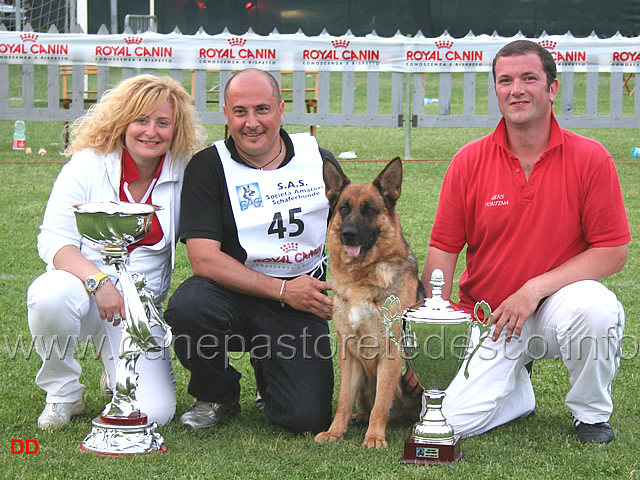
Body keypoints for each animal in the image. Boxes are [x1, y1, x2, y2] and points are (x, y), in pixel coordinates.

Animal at [314, 156, 422, 448]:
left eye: (370, 210)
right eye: (344, 209)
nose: (348, 234)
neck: (360, 279)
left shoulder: (391, 354)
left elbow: (381, 403)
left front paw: (374, 437)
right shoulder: (348, 353)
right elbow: (343, 401)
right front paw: (334, 432)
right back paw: (359, 417)